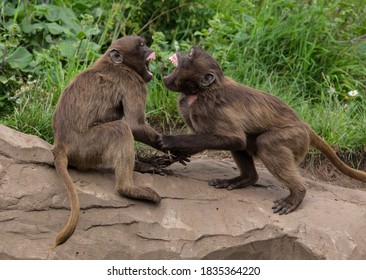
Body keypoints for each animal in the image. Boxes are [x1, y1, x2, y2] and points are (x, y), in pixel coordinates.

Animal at [52, 35, 167, 247]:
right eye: (141, 46)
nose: (151, 49)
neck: (115, 63)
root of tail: (60, 145)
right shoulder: (133, 82)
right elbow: (134, 125)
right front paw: (178, 149)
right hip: (87, 147)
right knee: (121, 129)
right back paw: (128, 188)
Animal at [161, 47, 366, 215]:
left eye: (190, 56)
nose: (187, 50)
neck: (200, 92)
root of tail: (303, 124)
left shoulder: (207, 110)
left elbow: (235, 138)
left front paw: (170, 141)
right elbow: (231, 141)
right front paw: (175, 155)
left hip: (295, 138)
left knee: (265, 143)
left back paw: (297, 193)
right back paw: (246, 179)